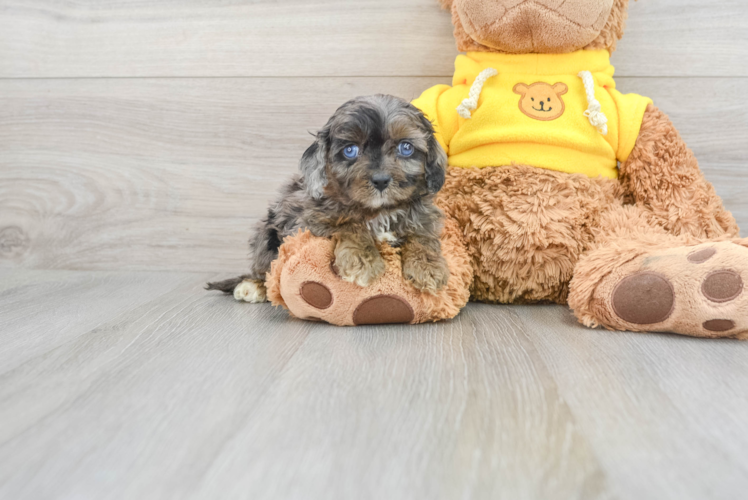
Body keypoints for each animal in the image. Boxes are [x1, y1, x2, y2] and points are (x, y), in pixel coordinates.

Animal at [207, 95, 448, 302]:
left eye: (405, 147)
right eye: (350, 150)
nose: (381, 180)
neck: (379, 210)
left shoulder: (423, 217)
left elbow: (422, 236)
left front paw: (428, 267)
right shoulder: (309, 220)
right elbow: (349, 225)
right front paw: (363, 260)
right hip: (265, 236)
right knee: (265, 269)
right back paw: (253, 286)